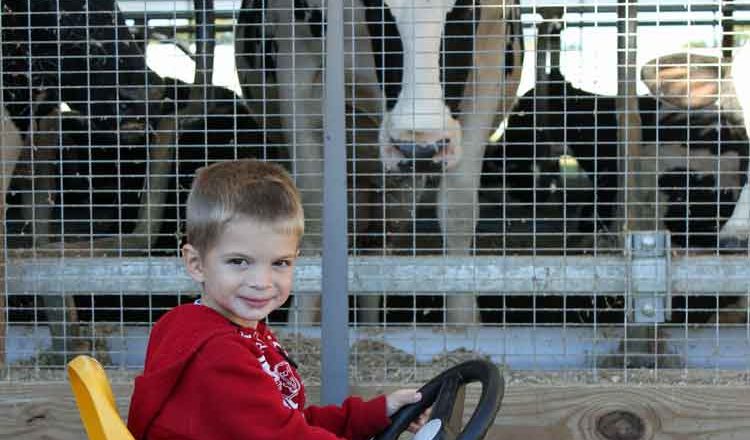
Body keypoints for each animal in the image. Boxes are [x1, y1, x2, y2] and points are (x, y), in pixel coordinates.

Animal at [238, 0, 524, 324]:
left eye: (464, 8)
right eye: (378, 7)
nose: (420, 150)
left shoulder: (488, 68)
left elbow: (458, 212)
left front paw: (463, 324)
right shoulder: (296, 67)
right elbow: (312, 214)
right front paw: (303, 324)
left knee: (378, 243)